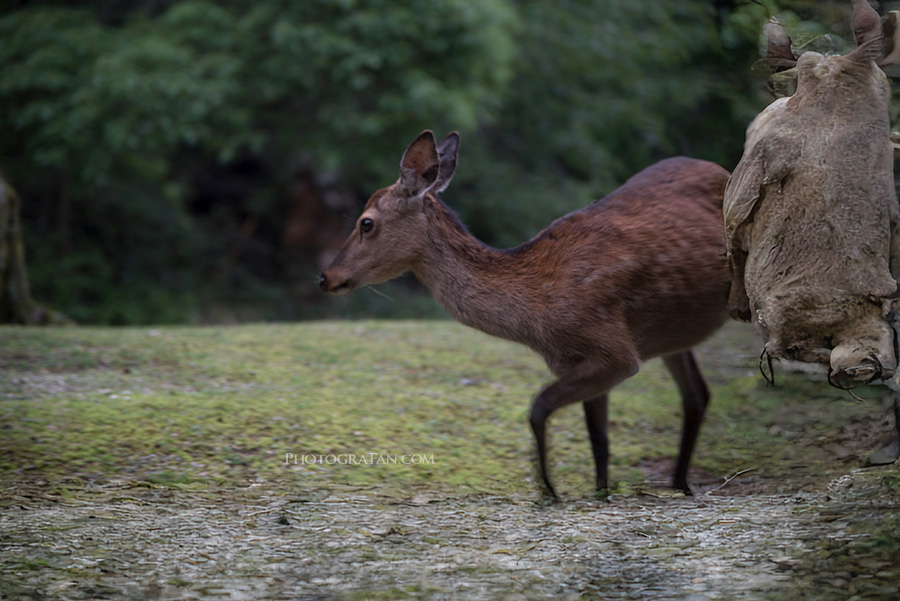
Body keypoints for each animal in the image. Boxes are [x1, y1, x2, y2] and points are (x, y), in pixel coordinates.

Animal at [318, 132, 732, 496]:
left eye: (366, 222)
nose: (325, 277)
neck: (538, 312)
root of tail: (722, 167)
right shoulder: (577, 362)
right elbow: (599, 440)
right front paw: (598, 493)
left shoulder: (615, 350)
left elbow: (538, 407)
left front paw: (549, 491)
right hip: (674, 333)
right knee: (697, 394)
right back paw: (680, 484)